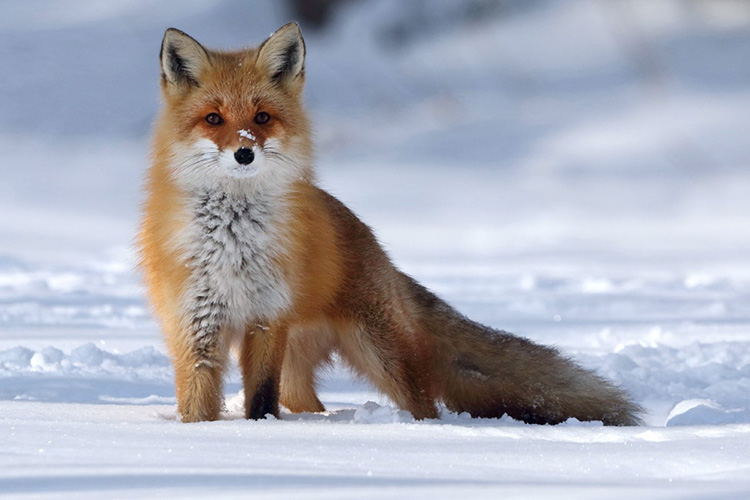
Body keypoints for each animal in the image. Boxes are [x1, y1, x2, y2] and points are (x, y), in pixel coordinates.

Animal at [141, 23, 648, 426]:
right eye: (213, 119)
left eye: (262, 117)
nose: (244, 152)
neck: (234, 241)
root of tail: (371, 241)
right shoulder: (197, 323)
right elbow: (198, 402)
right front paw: (205, 434)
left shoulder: (266, 320)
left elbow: (261, 400)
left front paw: (257, 431)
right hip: (305, 357)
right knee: (306, 402)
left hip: (379, 353)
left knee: (421, 404)